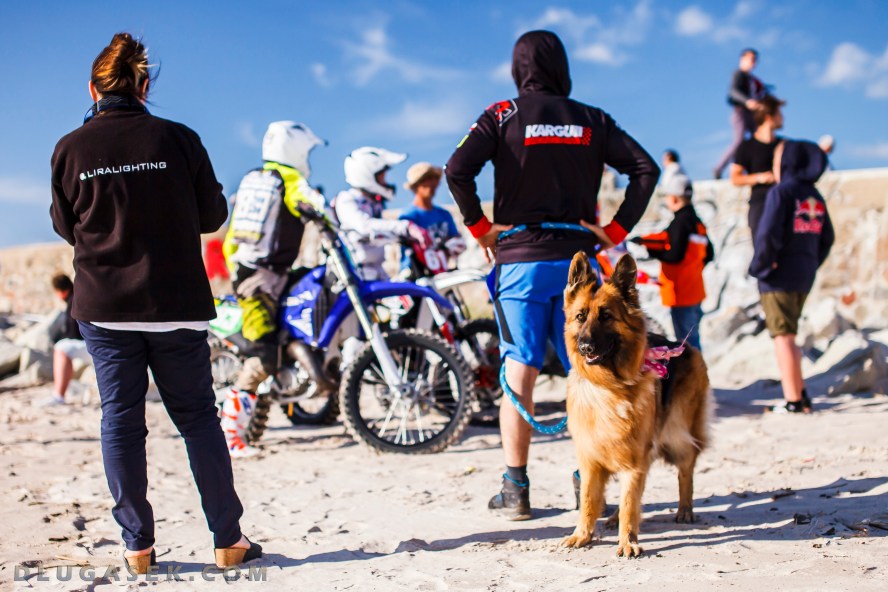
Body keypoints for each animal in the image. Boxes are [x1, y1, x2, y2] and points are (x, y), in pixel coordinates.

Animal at [561, 252, 710, 558]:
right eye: (580, 316)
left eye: (606, 316)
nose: (585, 347)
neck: (608, 386)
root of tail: (683, 345)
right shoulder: (591, 458)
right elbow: (589, 499)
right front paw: (582, 534)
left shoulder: (635, 457)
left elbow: (630, 501)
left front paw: (627, 540)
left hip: (677, 430)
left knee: (686, 467)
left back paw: (685, 509)